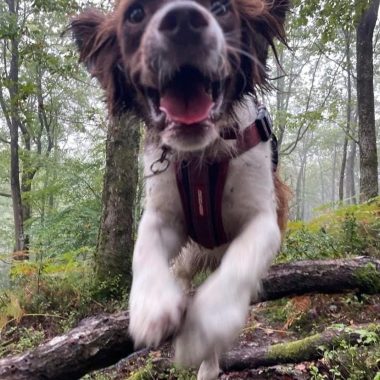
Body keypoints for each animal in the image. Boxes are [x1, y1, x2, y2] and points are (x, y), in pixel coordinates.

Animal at [71, 0, 290, 378]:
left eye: (222, 8)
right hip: (190, 256)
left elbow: (240, 265)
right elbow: (144, 250)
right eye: (135, 15)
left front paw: (205, 326)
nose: (184, 22)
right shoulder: (163, 215)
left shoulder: (264, 219)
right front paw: (151, 306)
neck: (202, 157)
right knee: (183, 275)